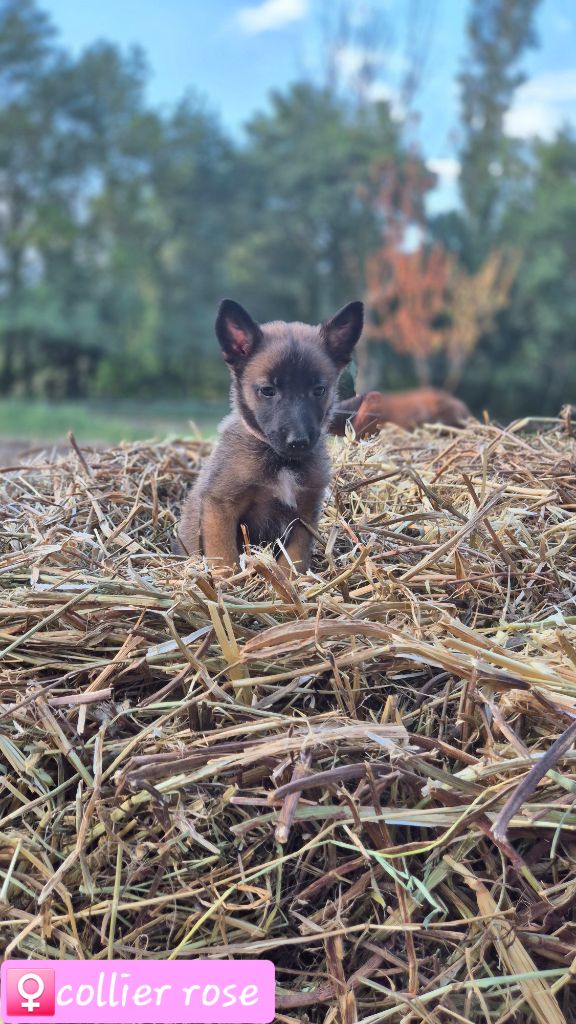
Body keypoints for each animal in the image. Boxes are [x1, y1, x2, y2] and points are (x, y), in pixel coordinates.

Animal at [176, 299, 362, 577]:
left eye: (319, 390)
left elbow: (294, 557)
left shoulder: (304, 513)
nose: (298, 441)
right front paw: (228, 581)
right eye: (267, 391)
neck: (281, 461)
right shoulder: (220, 505)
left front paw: (288, 580)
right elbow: (224, 555)